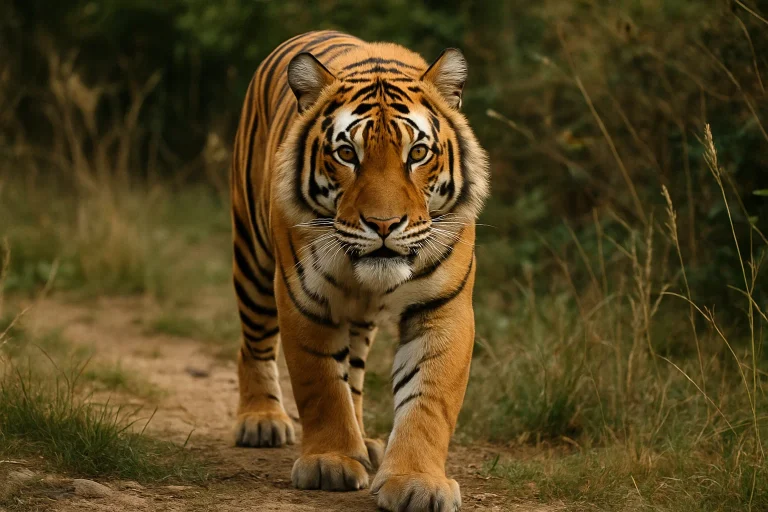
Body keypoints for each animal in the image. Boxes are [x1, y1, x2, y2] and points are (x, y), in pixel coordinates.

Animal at [229, 30, 489, 511]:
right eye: (347, 153)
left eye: (417, 153)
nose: (384, 225)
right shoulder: (303, 297)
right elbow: (320, 385)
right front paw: (329, 462)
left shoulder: (443, 307)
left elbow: (428, 399)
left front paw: (416, 481)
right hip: (252, 259)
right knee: (253, 342)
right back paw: (261, 419)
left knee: (353, 369)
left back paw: (365, 441)